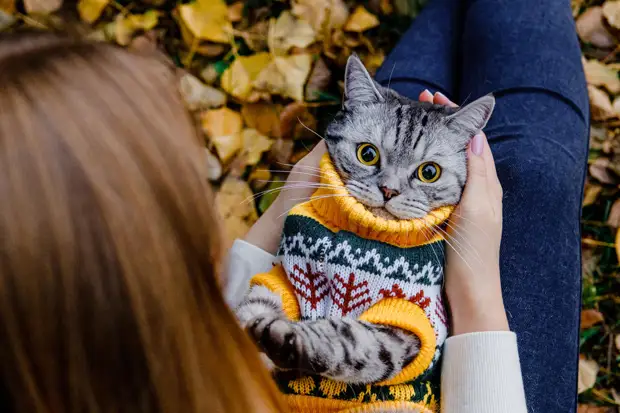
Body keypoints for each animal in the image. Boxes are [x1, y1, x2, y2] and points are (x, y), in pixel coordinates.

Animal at [235, 54, 496, 384]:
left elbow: (345, 340)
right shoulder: (281, 277)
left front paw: (286, 339)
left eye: (429, 172)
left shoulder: (408, 323)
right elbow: (254, 303)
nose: (389, 190)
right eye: (367, 154)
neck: (363, 233)